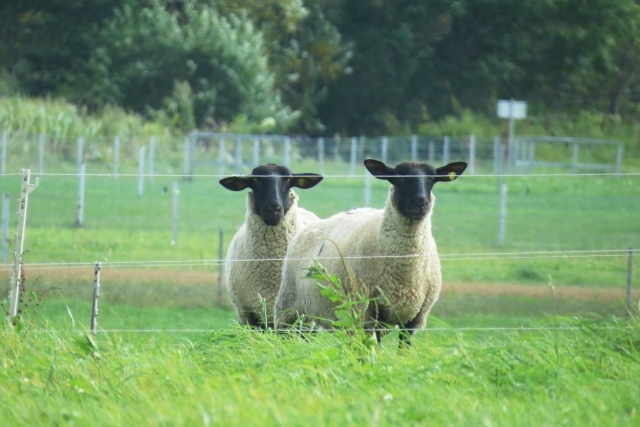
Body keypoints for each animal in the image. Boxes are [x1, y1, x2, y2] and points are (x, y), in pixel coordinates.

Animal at [274, 159, 464, 346]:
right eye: (399, 178)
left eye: (432, 178)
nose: (421, 203)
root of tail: (309, 227)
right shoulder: (369, 313)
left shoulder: (414, 319)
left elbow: (404, 350)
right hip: (289, 307)